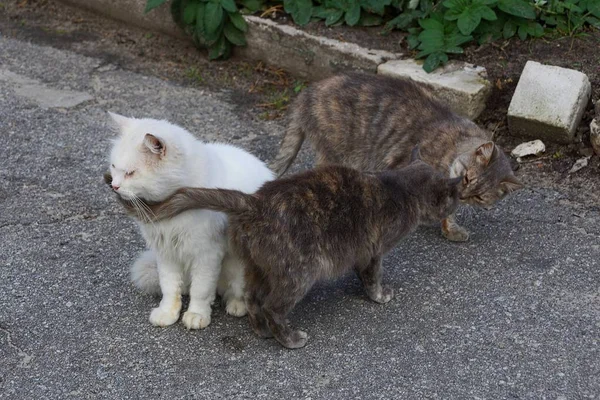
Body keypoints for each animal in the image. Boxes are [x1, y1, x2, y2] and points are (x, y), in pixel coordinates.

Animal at [108, 111, 274, 328]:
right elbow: (169, 287)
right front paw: (168, 312)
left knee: (235, 291)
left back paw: (237, 305)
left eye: (130, 173)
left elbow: (201, 290)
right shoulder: (166, 252)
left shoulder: (207, 254)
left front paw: (197, 314)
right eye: (113, 167)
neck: (171, 206)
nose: (114, 186)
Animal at [108, 148, 462, 348]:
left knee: (253, 300)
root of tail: (255, 201)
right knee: (272, 306)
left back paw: (261, 332)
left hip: (256, 266)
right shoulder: (373, 252)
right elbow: (372, 278)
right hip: (300, 273)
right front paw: (380, 295)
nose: (456, 206)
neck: (400, 187)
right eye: (453, 198)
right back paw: (289, 339)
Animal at [270, 72, 524, 242]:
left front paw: (450, 228)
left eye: (479, 197)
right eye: (467, 178)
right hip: (340, 154)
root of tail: (307, 92)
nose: (463, 195)